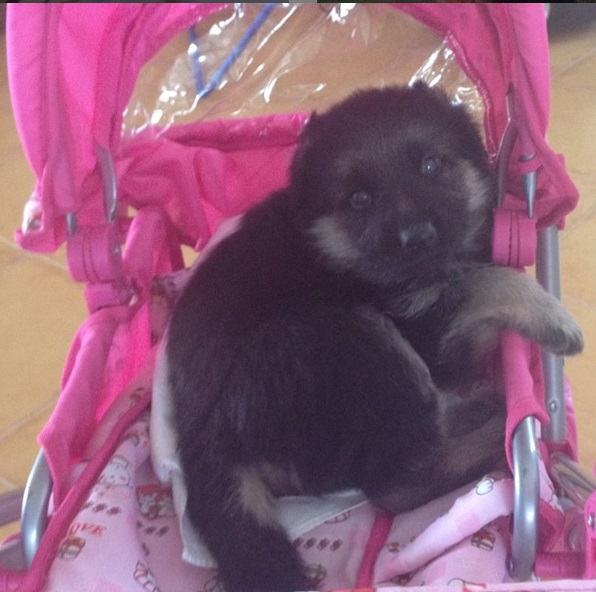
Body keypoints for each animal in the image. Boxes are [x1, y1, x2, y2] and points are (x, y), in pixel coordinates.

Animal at [162, 83, 584, 592]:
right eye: (359, 199)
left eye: (430, 165)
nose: (416, 237)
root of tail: (200, 436)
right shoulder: (427, 331)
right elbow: (483, 281)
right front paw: (550, 314)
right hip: (353, 342)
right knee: (398, 482)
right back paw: (500, 426)